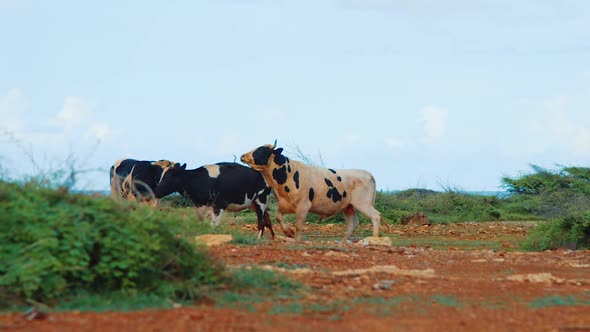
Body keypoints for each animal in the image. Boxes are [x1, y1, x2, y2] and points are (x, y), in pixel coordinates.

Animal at [240, 141, 384, 243]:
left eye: (261, 150)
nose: (242, 156)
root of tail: (366, 172)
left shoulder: (304, 206)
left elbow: (299, 225)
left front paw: (297, 240)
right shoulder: (284, 204)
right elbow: (278, 217)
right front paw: (288, 232)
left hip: (363, 203)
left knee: (375, 216)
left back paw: (374, 238)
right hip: (348, 207)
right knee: (353, 224)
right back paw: (343, 242)